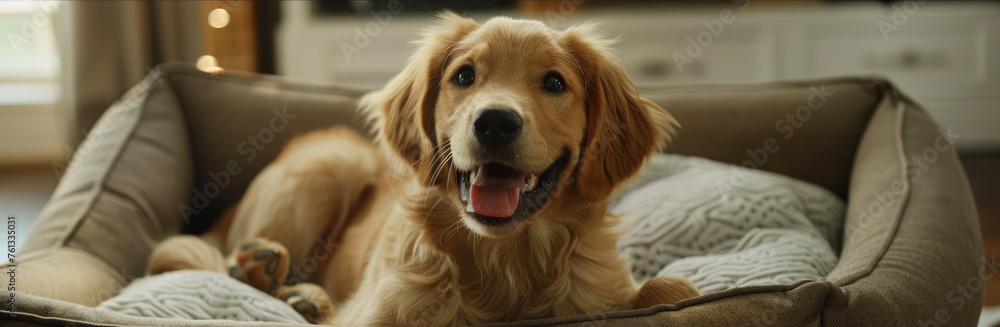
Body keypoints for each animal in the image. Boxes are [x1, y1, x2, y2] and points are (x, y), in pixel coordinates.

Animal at [148, 11, 700, 326]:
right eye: (465, 76)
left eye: (554, 83)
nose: (494, 123)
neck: (505, 260)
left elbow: (671, 289)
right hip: (329, 164)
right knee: (225, 264)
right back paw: (261, 267)